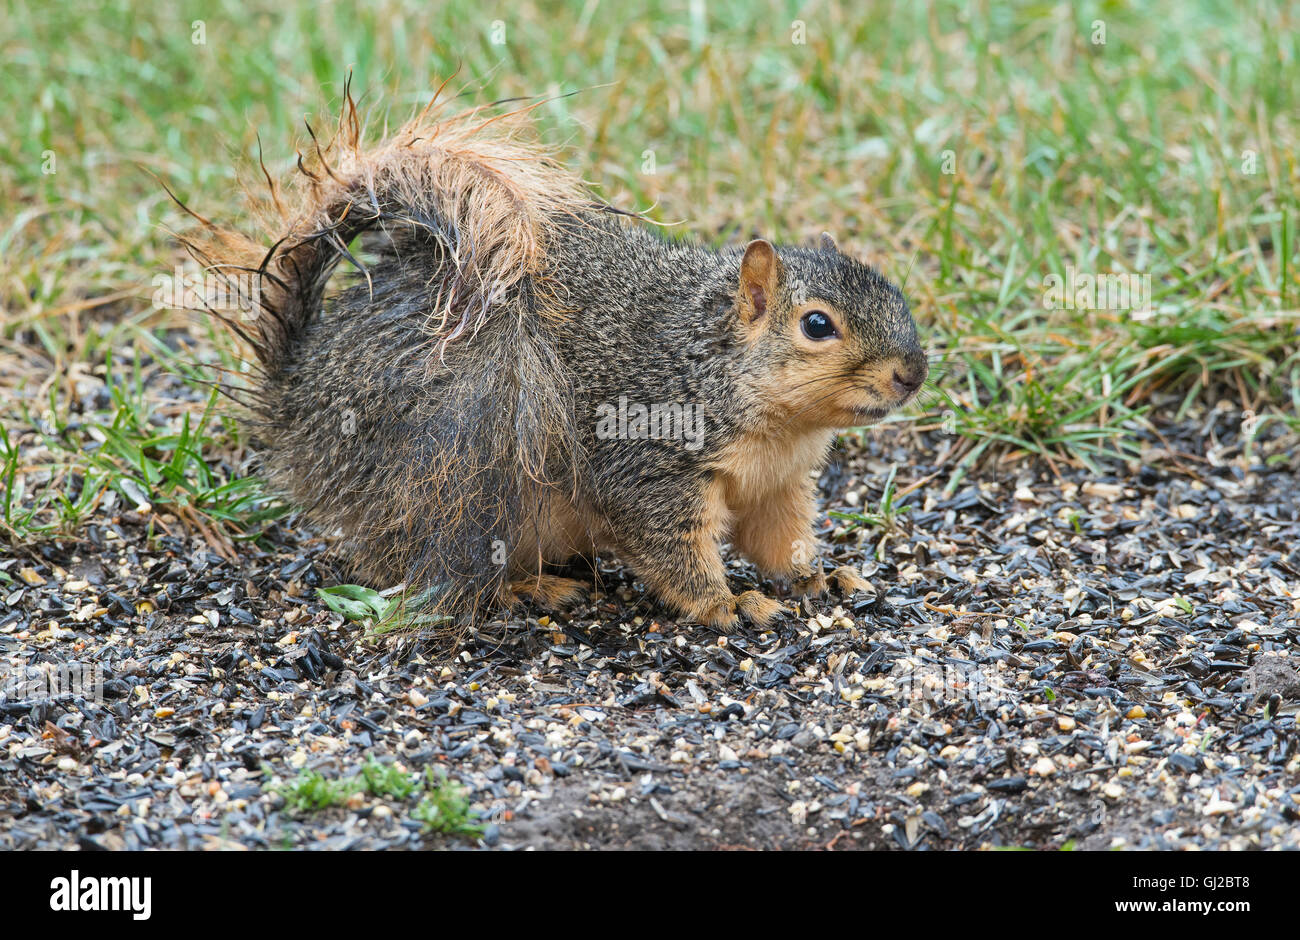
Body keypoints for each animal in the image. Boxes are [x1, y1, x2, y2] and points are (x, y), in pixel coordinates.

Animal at [188, 86, 930, 631]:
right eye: (817, 325)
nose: (913, 374)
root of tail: (293, 399)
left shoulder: (778, 484)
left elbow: (779, 541)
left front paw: (818, 576)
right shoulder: (647, 461)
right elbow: (673, 549)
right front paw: (726, 603)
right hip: (459, 471)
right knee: (409, 562)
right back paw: (527, 590)